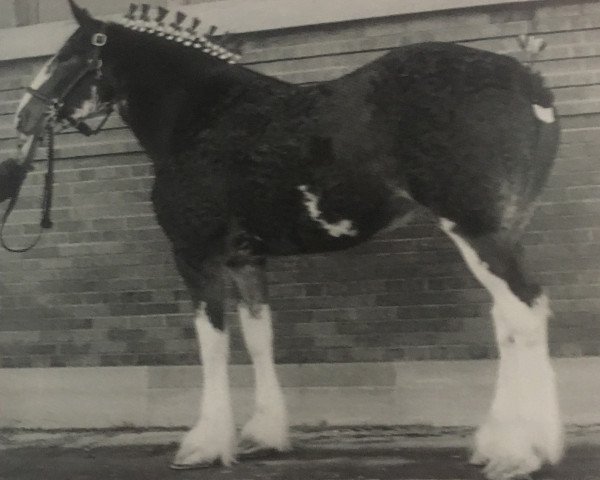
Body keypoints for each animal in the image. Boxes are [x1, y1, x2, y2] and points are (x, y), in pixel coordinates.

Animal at [12, 1, 564, 478]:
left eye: (70, 56)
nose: (22, 117)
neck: (203, 115)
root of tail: (529, 82)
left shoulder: (196, 255)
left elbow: (212, 344)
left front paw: (204, 444)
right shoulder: (246, 260)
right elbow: (259, 338)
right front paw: (263, 434)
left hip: (478, 231)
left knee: (523, 312)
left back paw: (520, 453)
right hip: (501, 231)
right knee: (509, 320)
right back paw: (504, 441)